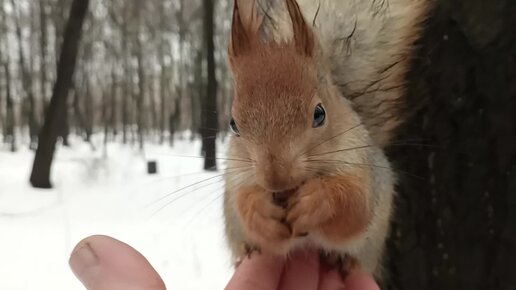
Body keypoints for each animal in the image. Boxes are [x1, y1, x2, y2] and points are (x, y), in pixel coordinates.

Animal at [222, 0, 428, 278]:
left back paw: (345, 260)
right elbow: (244, 202)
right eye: (233, 124)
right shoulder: (236, 177)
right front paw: (260, 213)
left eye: (319, 114)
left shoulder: (362, 167)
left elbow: (355, 206)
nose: (276, 179)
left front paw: (317, 201)